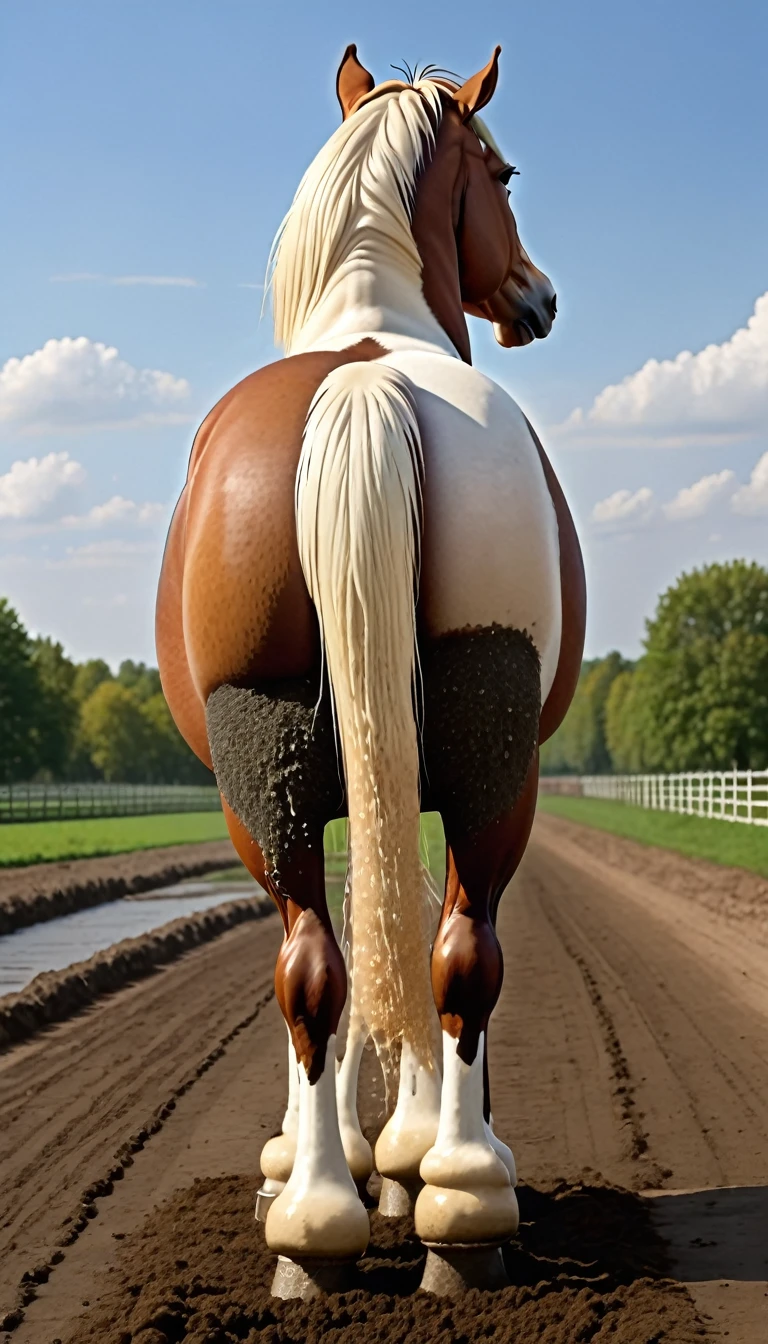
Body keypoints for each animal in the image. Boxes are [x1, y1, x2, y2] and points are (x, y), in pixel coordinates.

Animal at [159, 47, 586, 1295]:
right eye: (502, 173)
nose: (538, 296)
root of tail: (363, 388)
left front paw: (358, 1155)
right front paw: (389, 1151)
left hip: (269, 771)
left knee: (323, 961)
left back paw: (325, 1220)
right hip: (494, 760)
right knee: (451, 950)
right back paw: (457, 1195)